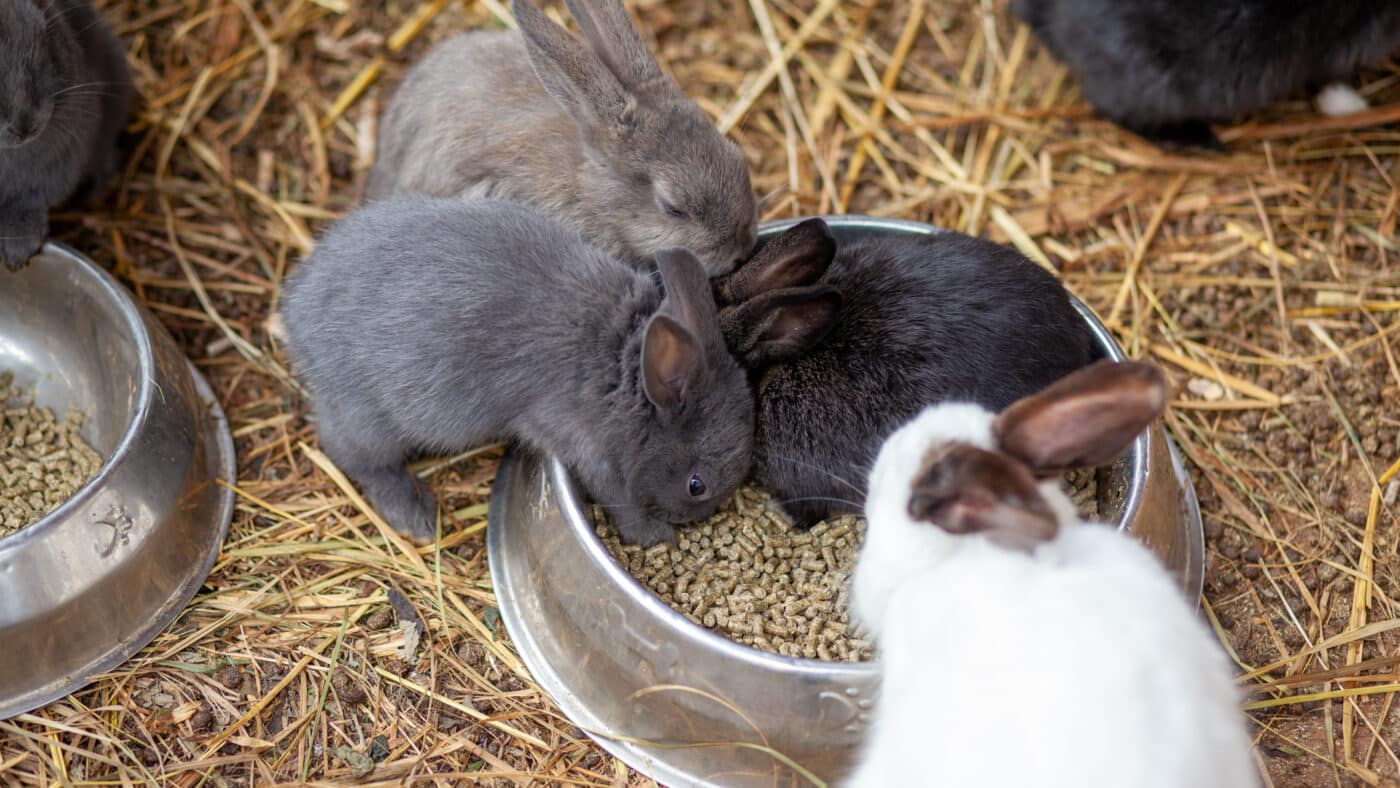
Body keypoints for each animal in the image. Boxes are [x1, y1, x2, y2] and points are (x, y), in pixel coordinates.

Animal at [280, 196, 754, 546]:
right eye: (697, 485)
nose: (696, 519)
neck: (626, 368)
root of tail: (295, 314)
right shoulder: (592, 453)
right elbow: (621, 501)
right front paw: (656, 536)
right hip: (369, 420)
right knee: (353, 456)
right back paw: (415, 516)